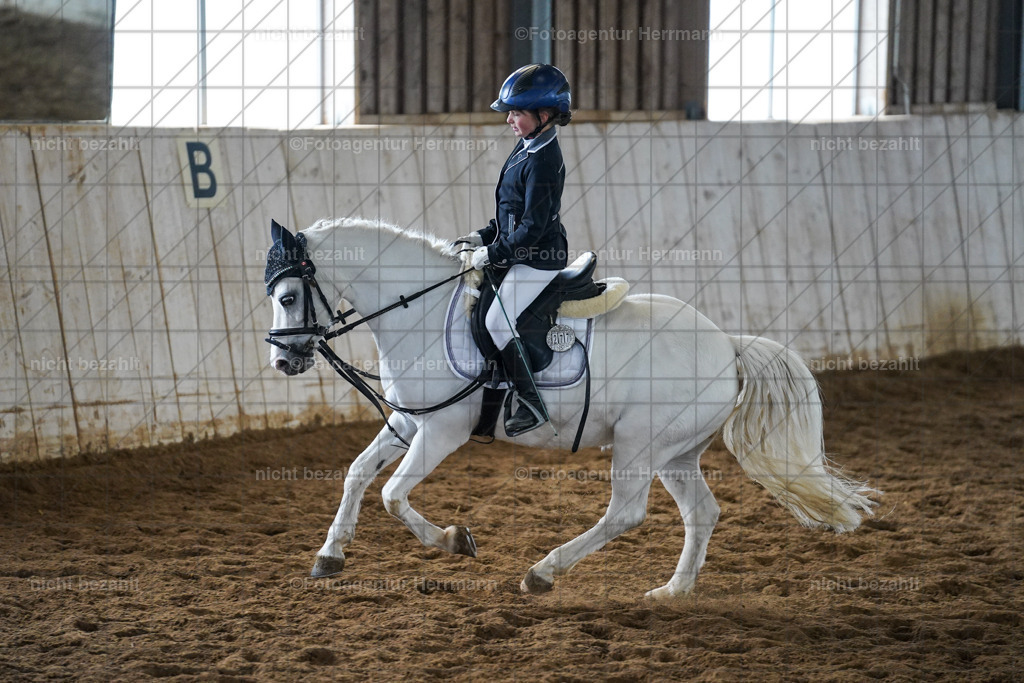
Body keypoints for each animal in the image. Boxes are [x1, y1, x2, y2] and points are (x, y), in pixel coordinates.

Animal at [265, 217, 878, 600]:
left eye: (289, 296)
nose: (284, 362)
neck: (420, 310)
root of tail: (728, 345)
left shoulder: (442, 430)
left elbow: (392, 495)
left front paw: (455, 541)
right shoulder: (408, 420)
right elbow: (356, 474)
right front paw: (329, 556)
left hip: (639, 445)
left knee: (626, 514)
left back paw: (542, 573)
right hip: (676, 454)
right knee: (701, 513)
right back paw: (673, 592)